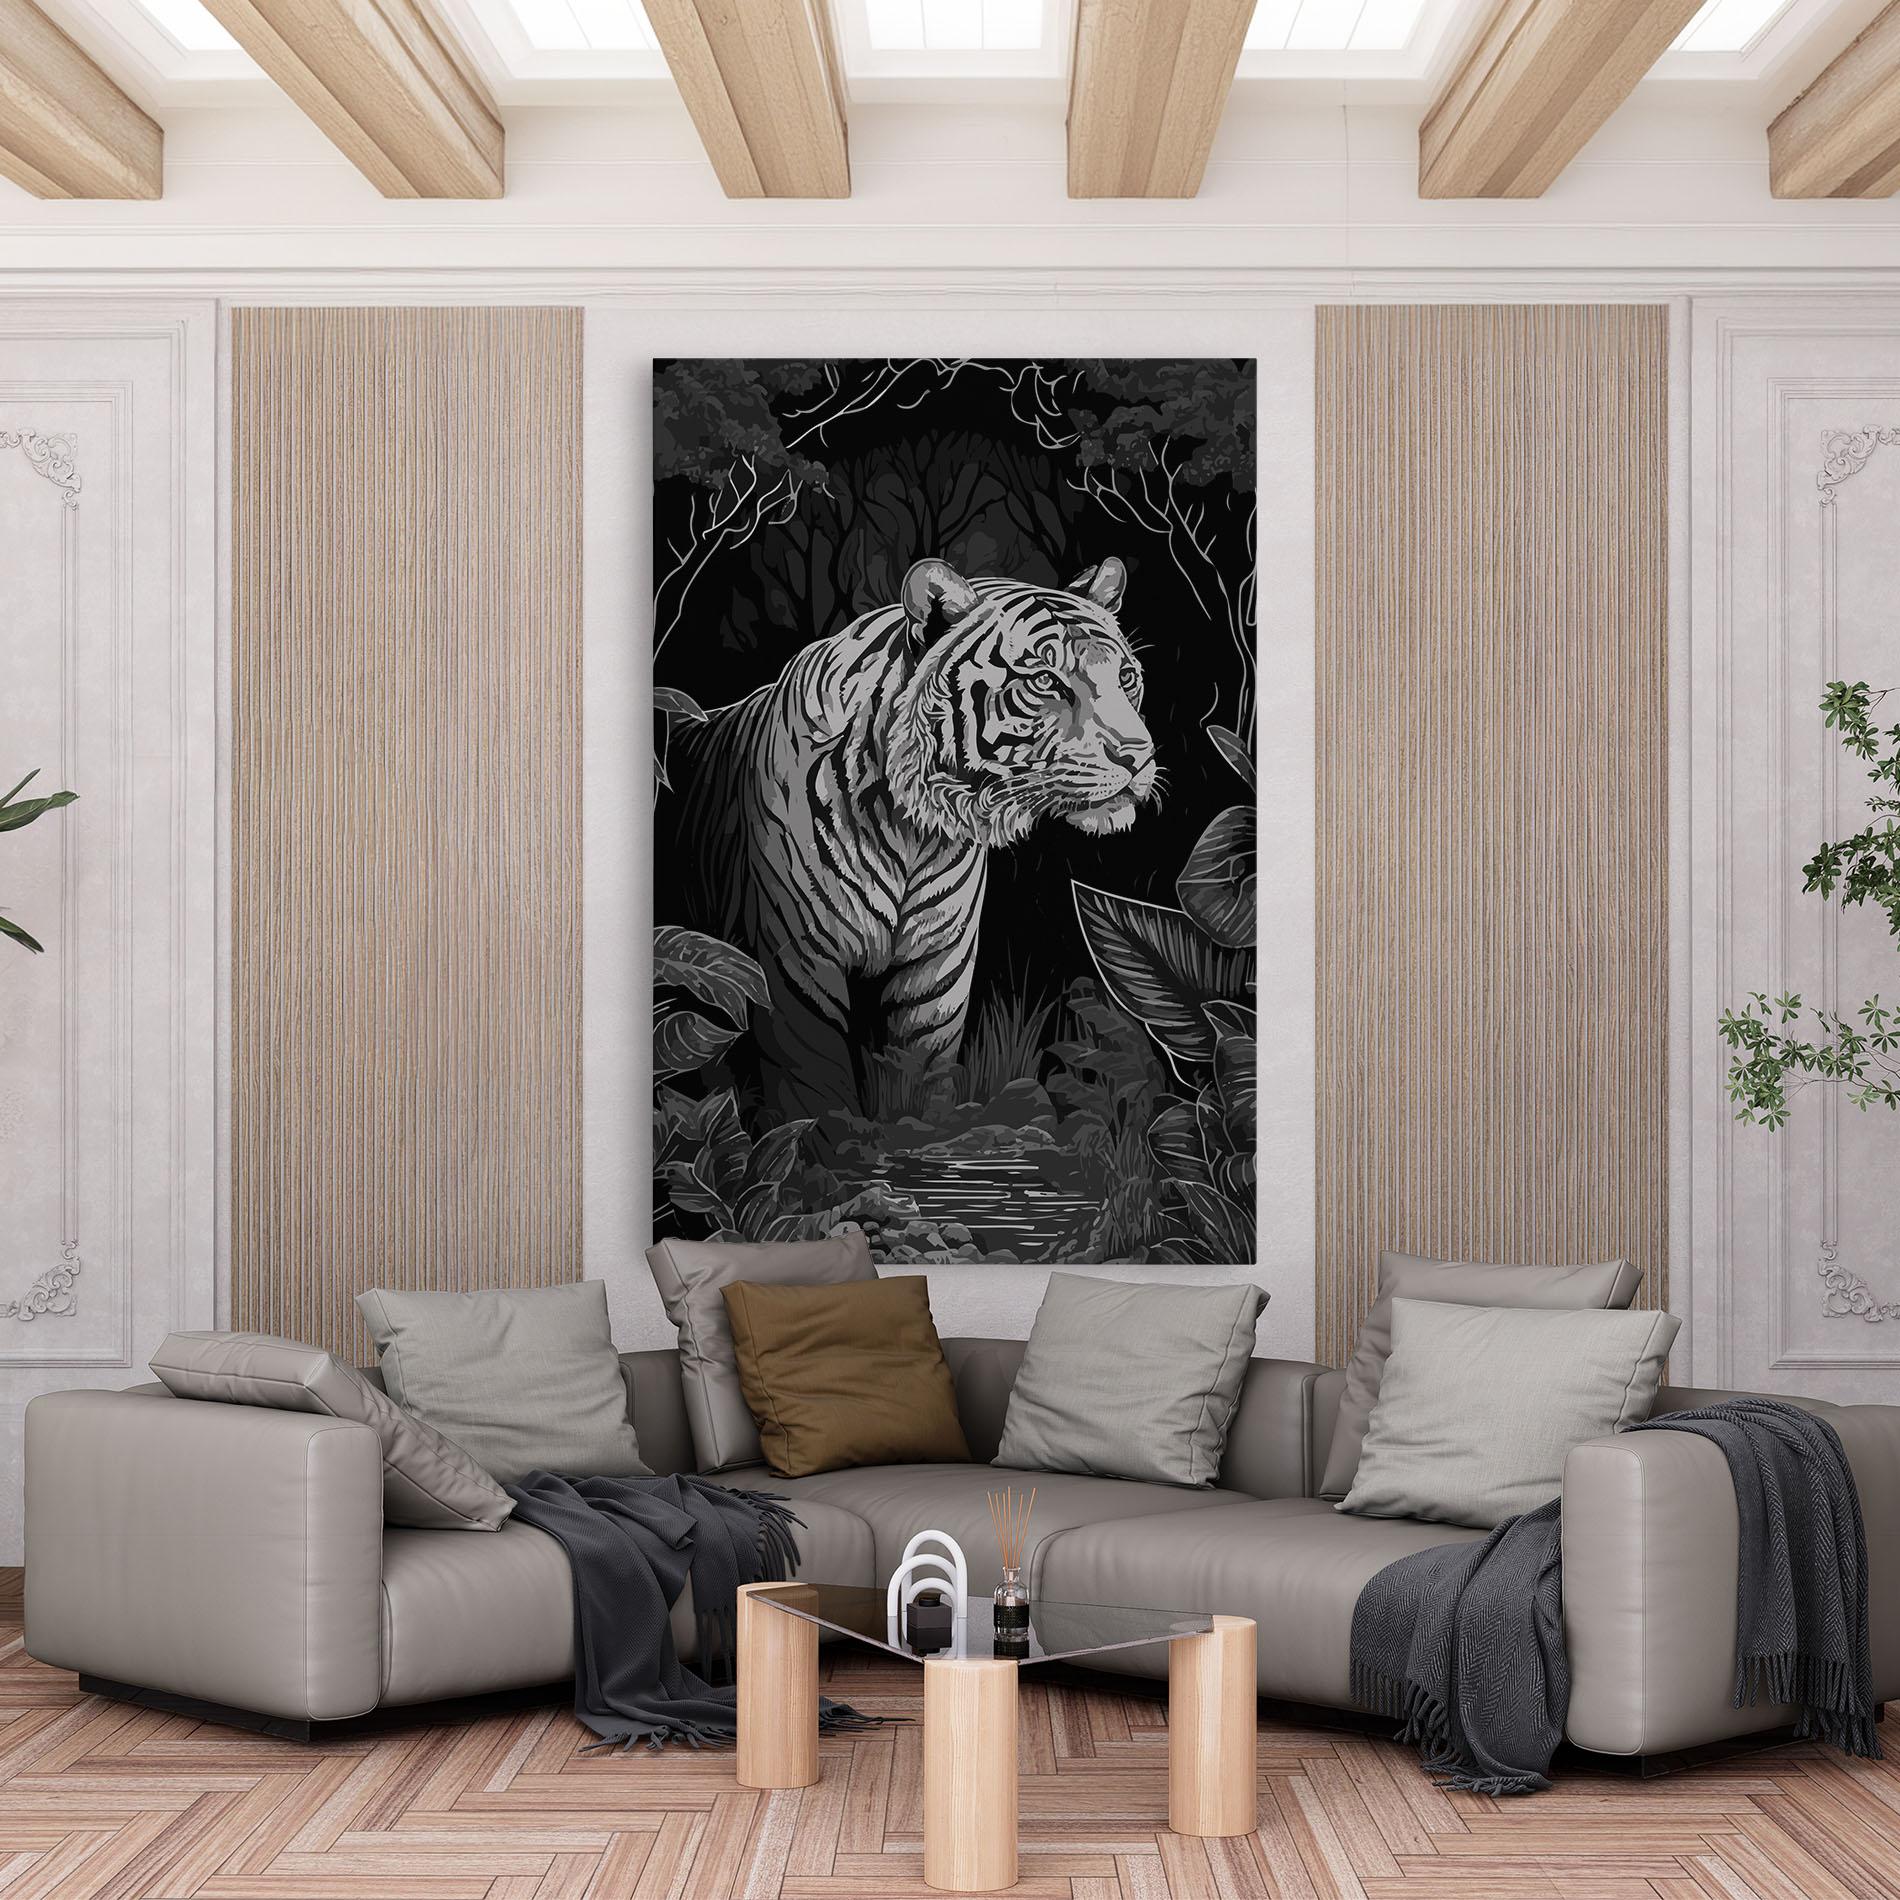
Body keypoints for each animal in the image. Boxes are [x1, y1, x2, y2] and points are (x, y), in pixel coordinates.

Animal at [670, 556, 1156, 1125]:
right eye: (1043, 680)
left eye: (1125, 677)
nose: (1138, 756)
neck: (913, 831)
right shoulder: (795, 968)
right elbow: (814, 1096)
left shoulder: (937, 970)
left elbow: (921, 1083)